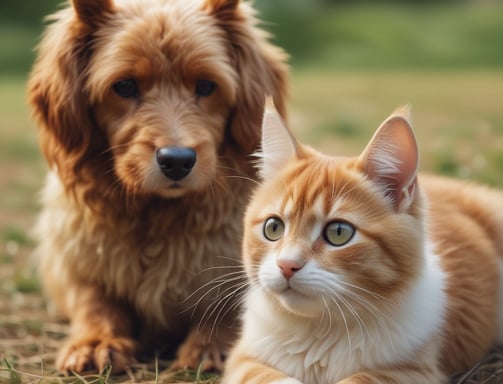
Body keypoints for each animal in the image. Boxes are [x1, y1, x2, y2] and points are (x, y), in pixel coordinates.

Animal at [28, 0, 288, 374]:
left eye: (206, 86)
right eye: (124, 86)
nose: (177, 161)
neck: (157, 213)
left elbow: (227, 307)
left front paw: (214, 346)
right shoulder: (75, 260)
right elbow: (95, 302)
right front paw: (96, 341)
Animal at [224, 100, 503, 384]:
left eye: (338, 232)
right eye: (273, 227)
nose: (286, 265)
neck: (319, 330)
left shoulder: (413, 371)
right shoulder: (243, 359)